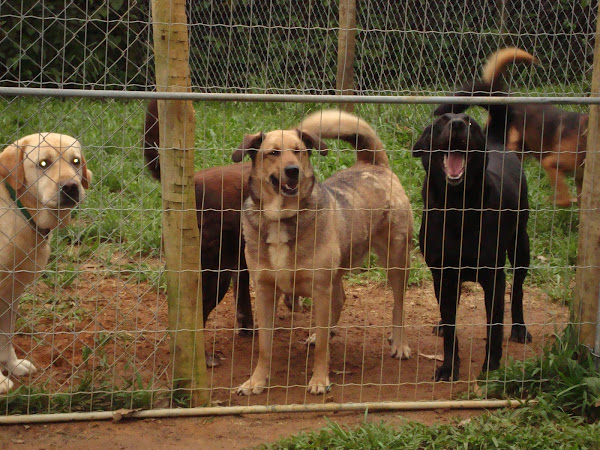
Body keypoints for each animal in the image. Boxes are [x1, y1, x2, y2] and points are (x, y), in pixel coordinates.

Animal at [0, 132, 91, 392]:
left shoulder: (12, 292)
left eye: (75, 161)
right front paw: (0, 381)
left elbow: (6, 336)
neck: (19, 210)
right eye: (43, 163)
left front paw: (13, 366)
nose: (71, 187)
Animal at [412, 111, 536, 380]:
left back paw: (520, 329)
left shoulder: (494, 278)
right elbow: (451, 327)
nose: (458, 124)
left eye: (471, 122)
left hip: (521, 244)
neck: (458, 207)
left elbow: (494, 327)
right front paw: (449, 367)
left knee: (518, 289)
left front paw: (491, 369)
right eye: (442, 121)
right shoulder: (443, 275)